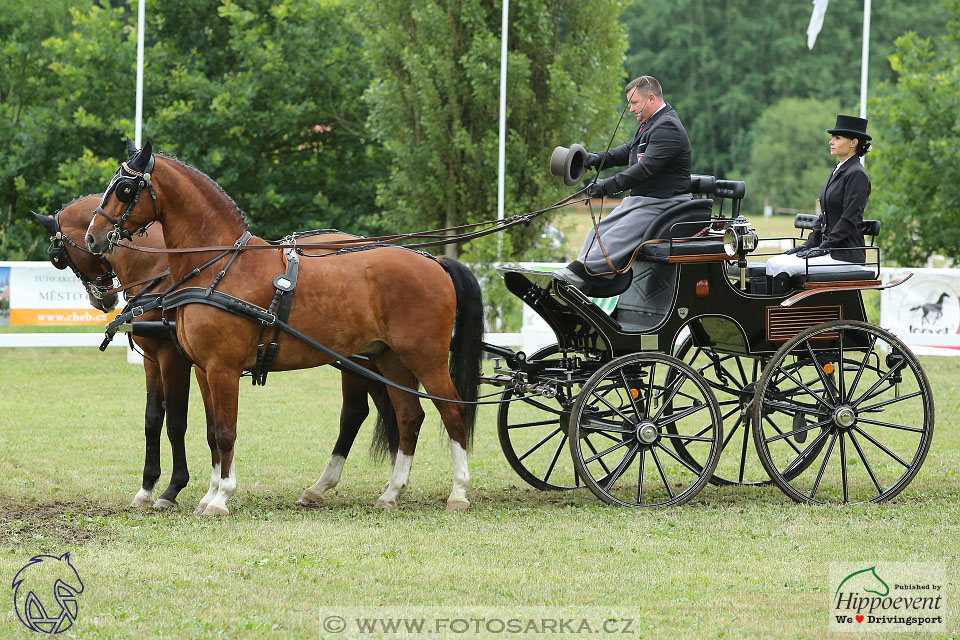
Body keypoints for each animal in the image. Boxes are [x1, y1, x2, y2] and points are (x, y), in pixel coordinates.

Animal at [38, 189, 402, 510]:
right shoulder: (160, 361)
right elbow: (158, 420)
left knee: (364, 411)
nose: (101, 299)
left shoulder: (174, 360)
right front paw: (150, 488)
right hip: (367, 357)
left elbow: (177, 423)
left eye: (59, 257)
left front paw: (173, 489)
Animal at [85, 141, 484, 516]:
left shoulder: (221, 368)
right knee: (409, 417)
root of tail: (435, 261)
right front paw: (209, 494)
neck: (220, 267)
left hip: (425, 358)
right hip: (389, 360)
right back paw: (390, 493)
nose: (93, 236)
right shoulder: (202, 368)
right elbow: (213, 433)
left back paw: (458, 492)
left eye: (124, 188)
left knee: (452, 412)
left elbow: (225, 432)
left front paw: (220, 497)